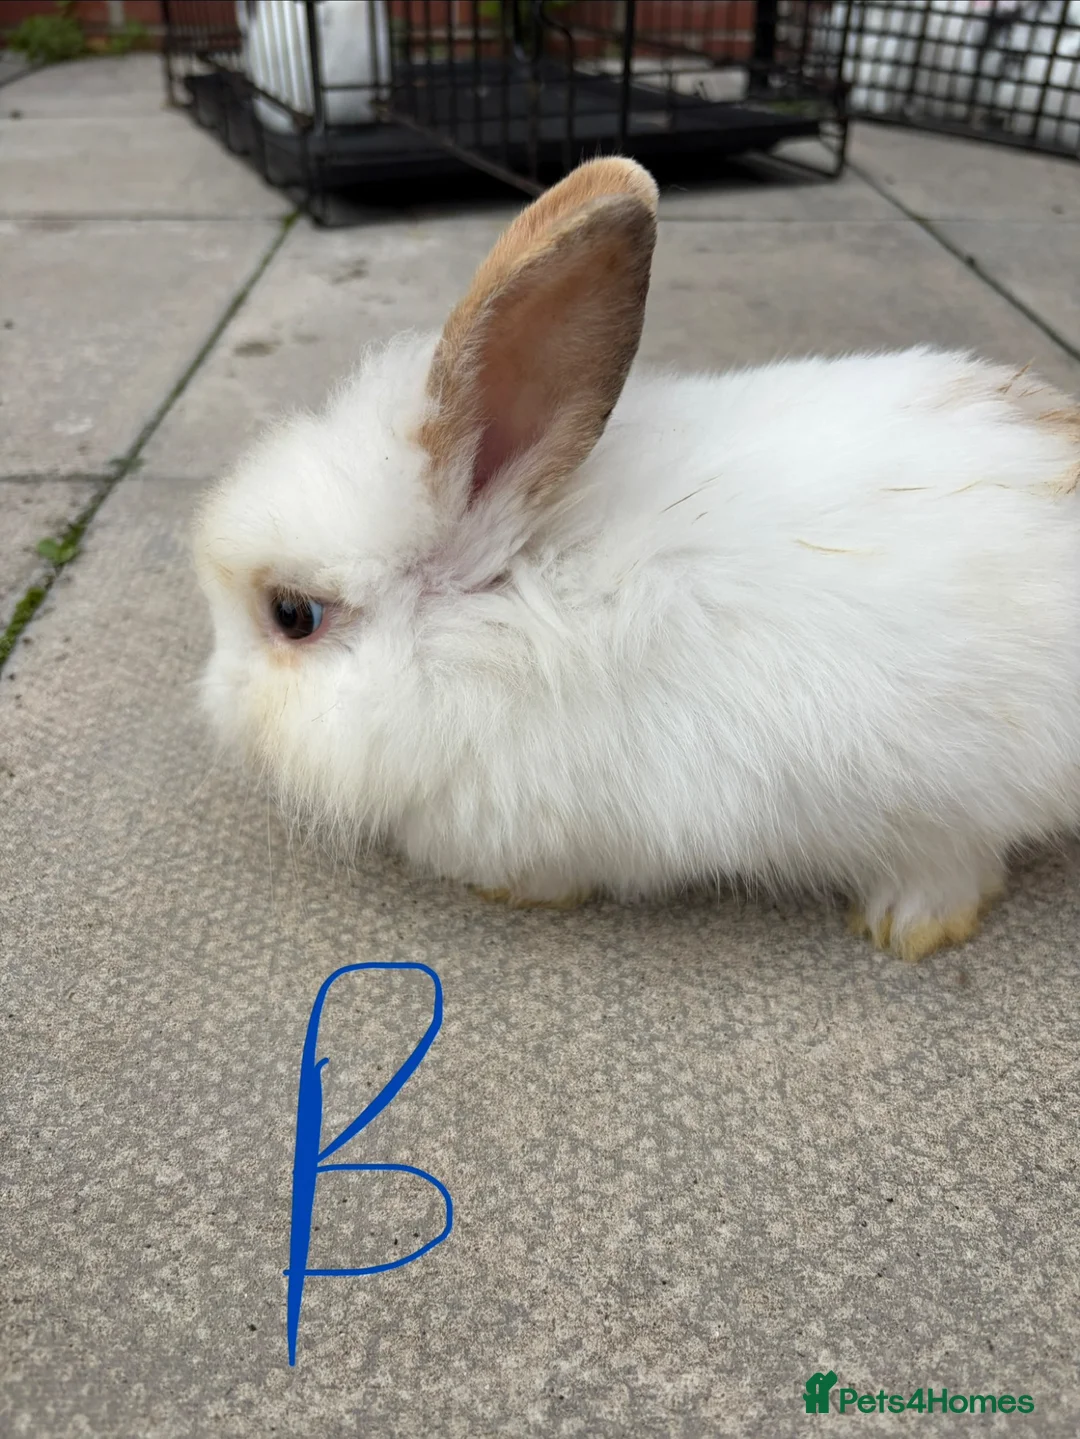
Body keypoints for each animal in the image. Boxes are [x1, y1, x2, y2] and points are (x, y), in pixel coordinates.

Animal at [194, 156, 1080, 962]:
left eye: (291, 615)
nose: (213, 700)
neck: (494, 618)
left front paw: (511, 892)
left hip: (952, 796)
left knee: (954, 866)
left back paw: (905, 927)